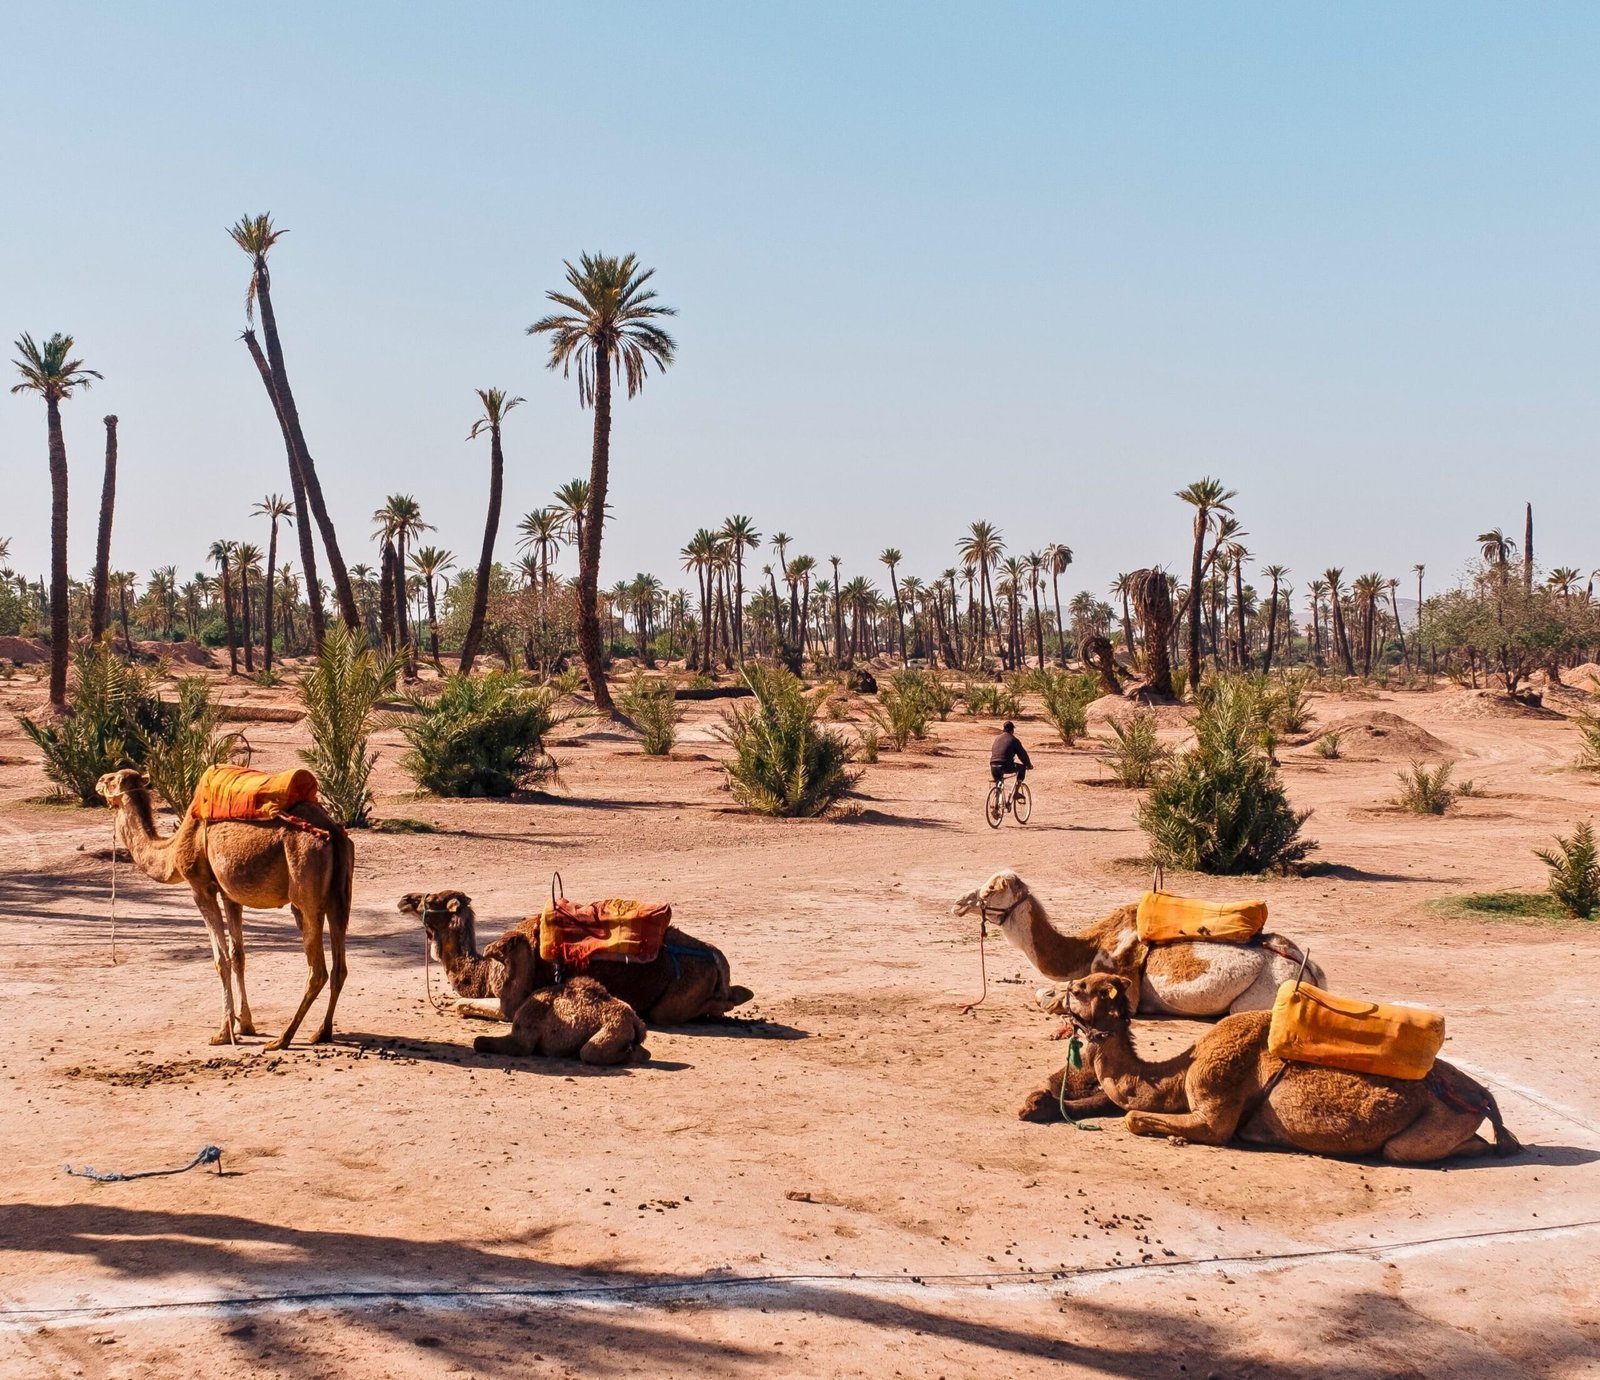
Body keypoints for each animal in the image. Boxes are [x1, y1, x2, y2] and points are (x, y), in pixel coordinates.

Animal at [95, 768, 353, 1048]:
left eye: (111, 780)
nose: (98, 782)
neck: (173, 849)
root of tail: (332, 831)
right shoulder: (231, 896)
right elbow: (238, 955)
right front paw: (245, 1025)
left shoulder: (201, 888)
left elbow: (220, 959)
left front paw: (223, 1033)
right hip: (340, 896)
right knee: (340, 966)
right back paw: (321, 1032)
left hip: (305, 889)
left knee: (317, 970)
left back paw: (283, 1039)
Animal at [398, 889, 752, 1024]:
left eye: (431, 899)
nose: (404, 899)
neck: (485, 970)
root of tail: (716, 956)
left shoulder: (511, 996)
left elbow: (461, 1005)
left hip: (675, 999)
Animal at [472, 934, 647, 1065]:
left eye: (503, 944)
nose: (486, 949)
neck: (522, 1002)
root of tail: (636, 1022)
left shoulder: (523, 1039)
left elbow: (478, 1041)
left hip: (612, 1029)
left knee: (589, 1052)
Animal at [954, 871, 1324, 1017]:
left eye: (990, 890)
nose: (958, 903)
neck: (1088, 948)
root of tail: (1310, 971)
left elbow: (1049, 996)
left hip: (1261, 994)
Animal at [1061, 974, 1520, 1162]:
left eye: (1079, 988)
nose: (1055, 992)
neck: (1178, 1072)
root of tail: (1483, 1095)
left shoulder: (1215, 1105)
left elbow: (1135, 1118)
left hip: (1436, 1124)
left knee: (1411, 1149)